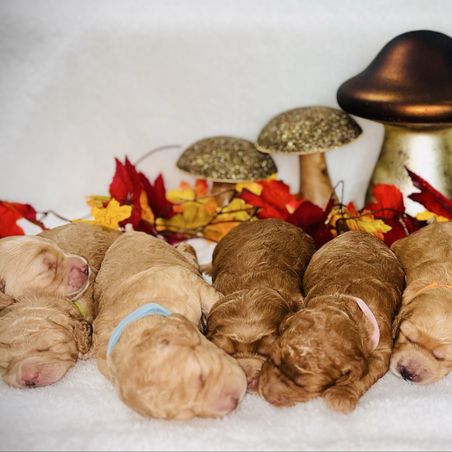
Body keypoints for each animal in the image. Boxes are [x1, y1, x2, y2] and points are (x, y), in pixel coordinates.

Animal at [93, 231, 247, 420]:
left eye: (200, 377)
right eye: (189, 413)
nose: (233, 403)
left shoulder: (185, 282)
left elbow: (214, 300)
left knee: (187, 252)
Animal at [259, 231, 405, 413]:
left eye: (306, 386)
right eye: (273, 359)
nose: (266, 395)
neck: (345, 306)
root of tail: (361, 232)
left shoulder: (382, 348)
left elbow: (366, 372)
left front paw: (341, 395)